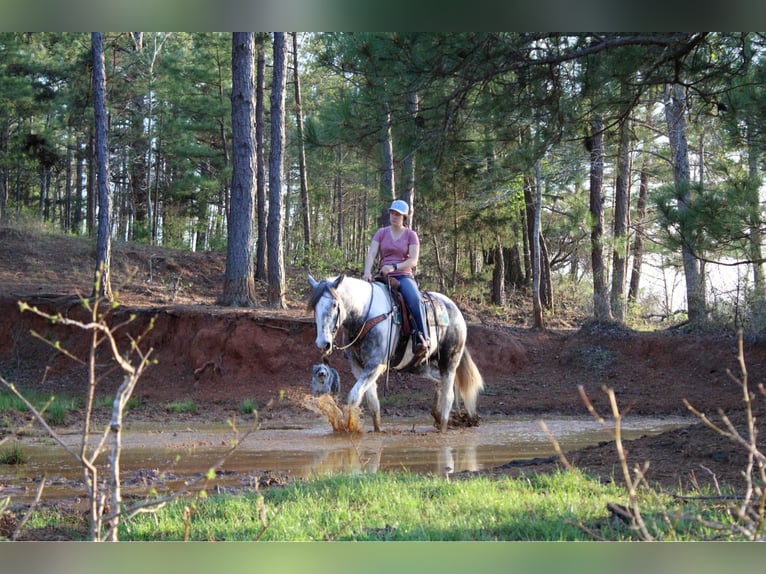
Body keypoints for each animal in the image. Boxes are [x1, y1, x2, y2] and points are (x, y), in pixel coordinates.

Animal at [307, 273, 484, 432]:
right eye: (315, 307)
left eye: (334, 304)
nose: (323, 343)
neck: (365, 315)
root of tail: (455, 309)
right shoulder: (358, 367)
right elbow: (372, 402)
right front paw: (377, 429)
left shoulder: (375, 365)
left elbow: (354, 396)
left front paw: (348, 427)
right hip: (420, 365)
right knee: (439, 381)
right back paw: (437, 414)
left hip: (450, 361)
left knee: (449, 394)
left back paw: (443, 427)